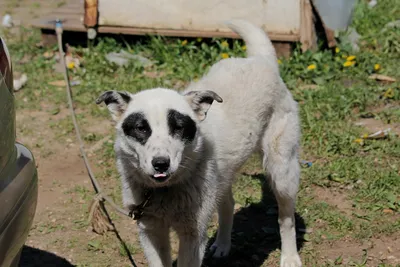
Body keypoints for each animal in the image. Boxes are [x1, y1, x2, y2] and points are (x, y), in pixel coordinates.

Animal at [97, 19, 302, 267]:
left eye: (178, 127)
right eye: (141, 128)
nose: (161, 163)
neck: (164, 191)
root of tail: (261, 60)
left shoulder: (192, 235)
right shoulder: (151, 231)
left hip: (282, 171)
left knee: (286, 218)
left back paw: (290, 257)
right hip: (223, 177)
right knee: (228, 203)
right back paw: (222, 245)